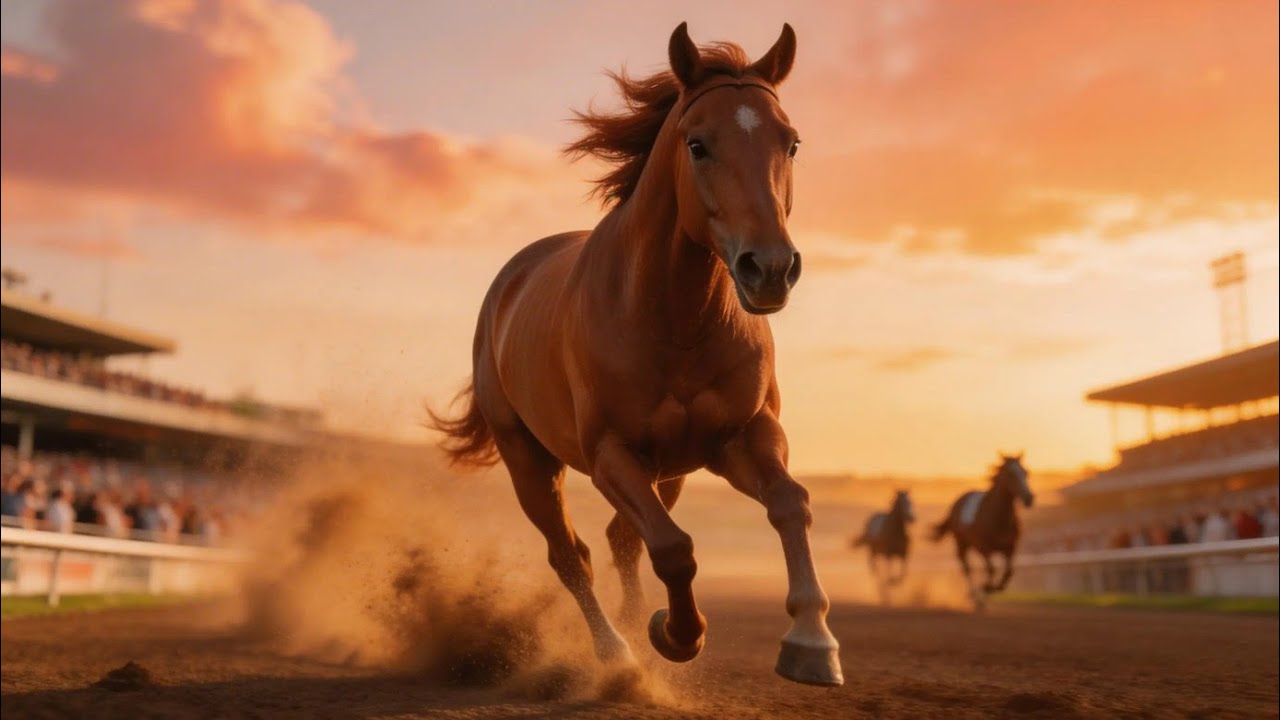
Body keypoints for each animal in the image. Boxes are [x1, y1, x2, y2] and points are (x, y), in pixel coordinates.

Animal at [427, 23, 842, 686]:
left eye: (792, 142)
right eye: (697, 144)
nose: (771, 268)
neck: (674, 322)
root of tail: (510, 280)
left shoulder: (742, 437)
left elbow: (790, 504)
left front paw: (812, 642)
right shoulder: (611, 456)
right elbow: (673, 548)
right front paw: (675, 635)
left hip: (668, 472)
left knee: (621, 539)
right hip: (530, 461)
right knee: (571, 555)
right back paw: (616, 652)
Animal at [932, 454, 1034, 608]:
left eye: (1026, 472)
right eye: (1010, 474)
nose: (1029, 498)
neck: (999, 519)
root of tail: (957, 502)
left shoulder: (1010, 547)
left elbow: (1008, 572)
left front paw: (996, 588)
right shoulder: (985, 548)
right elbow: (991, 570)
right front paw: (987, 588)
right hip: (961, 543)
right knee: (967, 568)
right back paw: (974, 596)